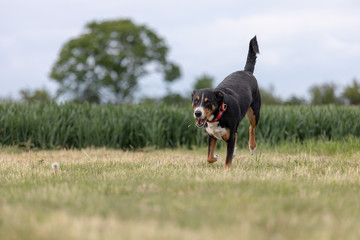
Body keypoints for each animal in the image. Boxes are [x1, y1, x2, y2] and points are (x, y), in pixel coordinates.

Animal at [193, 36, 260, 167]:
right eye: (195, 101)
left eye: (208, 102)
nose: (197, 113)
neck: (218, 115)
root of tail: (246, 72)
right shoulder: (211, 136)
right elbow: (209, 157)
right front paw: (216, 156)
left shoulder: (230, 137)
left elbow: (227, 161)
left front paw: (226, 169)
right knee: (238, 133)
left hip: (254, 112)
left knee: (251, 127)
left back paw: (252, 147)